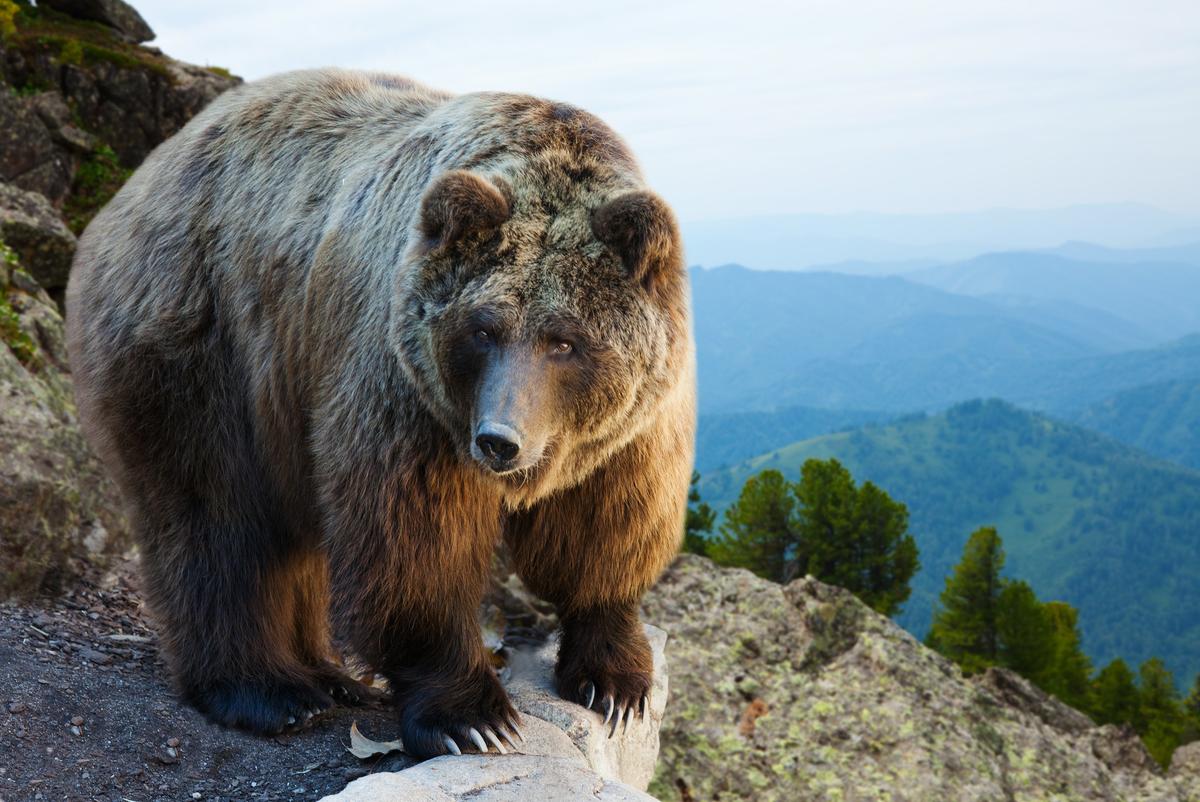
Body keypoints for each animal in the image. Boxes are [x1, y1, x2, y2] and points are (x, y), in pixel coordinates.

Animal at [65, 69, 695, 758]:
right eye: (483, 329)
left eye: (564, 340)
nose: (499, 441)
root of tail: (134, 186)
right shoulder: (409, 393)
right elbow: (414, 543)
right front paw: (472, 717)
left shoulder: (627, 431)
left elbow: (603, 530)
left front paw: (614, 682)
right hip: (205, 340)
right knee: (216, 511)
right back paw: (269, 691)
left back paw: (329, 674)